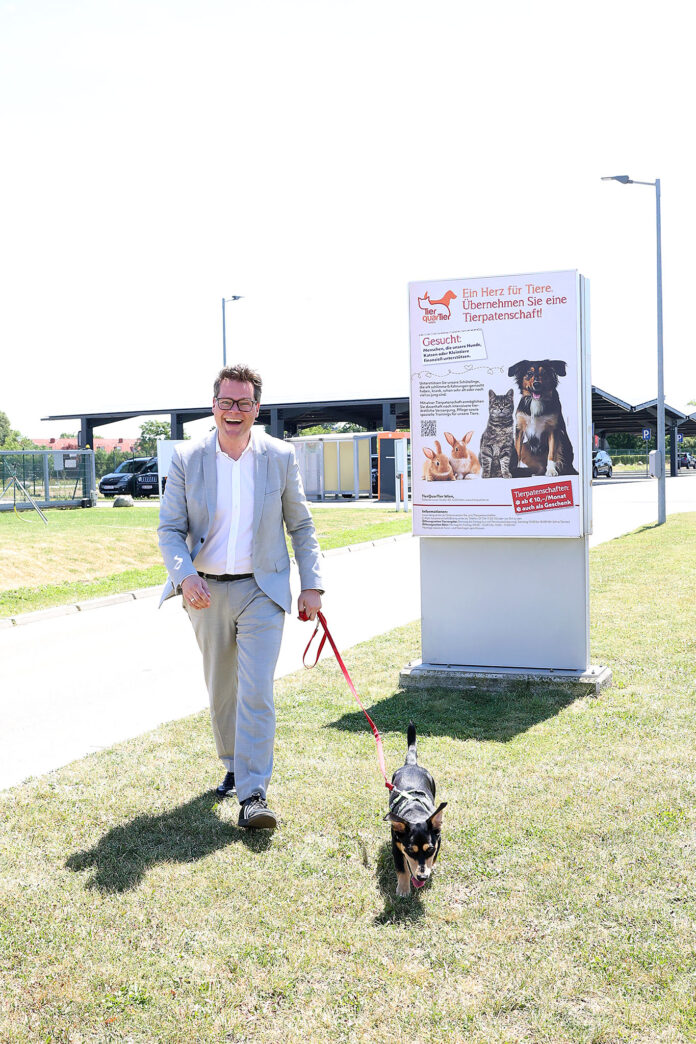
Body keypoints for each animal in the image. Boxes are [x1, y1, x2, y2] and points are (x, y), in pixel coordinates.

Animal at [384, 726, 448, 897]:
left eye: (430, 849)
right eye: (410, 851)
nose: (422, 877)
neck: (415, 813)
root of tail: (411, 763)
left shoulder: (438, 841)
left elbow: (433, 859)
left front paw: (431, 868)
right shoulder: (396, 846)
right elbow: (402, 869)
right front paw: (403, 889)